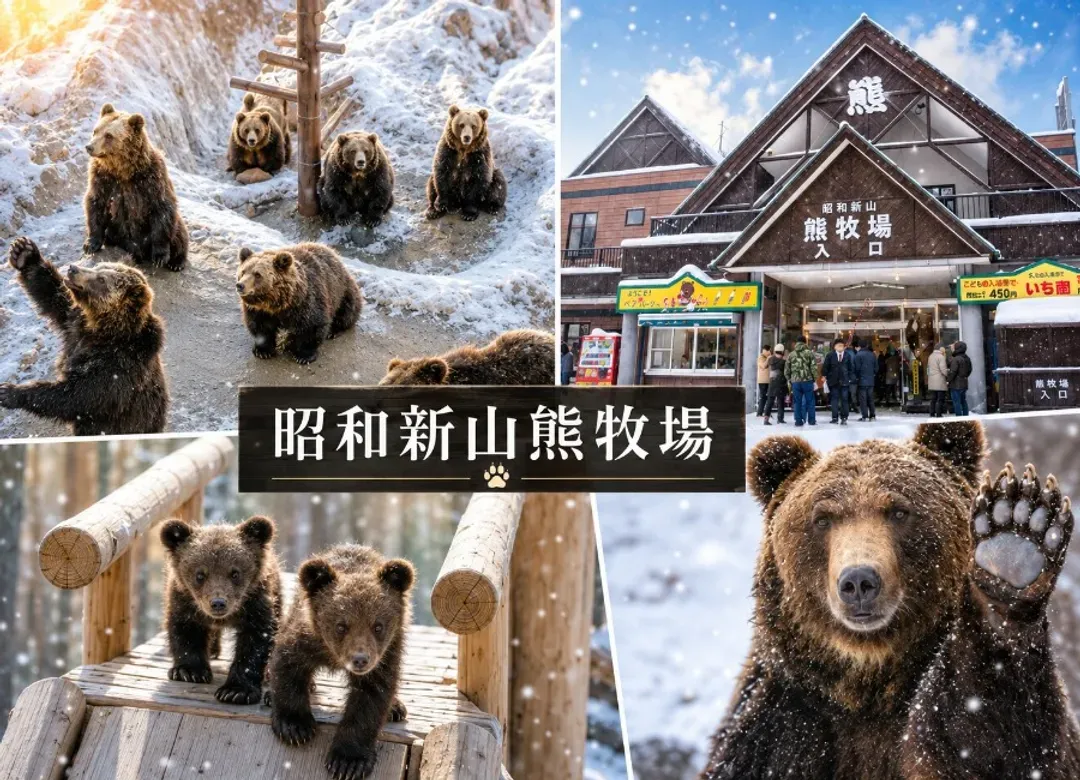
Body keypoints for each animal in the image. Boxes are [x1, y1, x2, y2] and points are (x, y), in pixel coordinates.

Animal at [0, 237, 169, 435]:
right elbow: (54, 294)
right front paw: (24, 252)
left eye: (102, 279)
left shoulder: (120, 364)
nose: (73, 269)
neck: (103, 329)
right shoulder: (74, 321)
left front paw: (10, 392)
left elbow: (79, 394)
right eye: (98, 266)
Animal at [84, 103, 189, 271]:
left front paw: (160, 256)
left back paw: (177, 262)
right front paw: (91, 244)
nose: (89, 147)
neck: (124, 170)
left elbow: (162, 207)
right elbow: (95, 203)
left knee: (179, 230)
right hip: (116, 233)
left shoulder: (153, 178)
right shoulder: (102, 178)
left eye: (109, 136)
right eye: (95, 130)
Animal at [161, 515, 282, 705]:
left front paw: (236, 691)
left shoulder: (256, 603)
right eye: (200, 574)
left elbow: (255, 642)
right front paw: (190, 671)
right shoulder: (183, 599)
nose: (218, 603)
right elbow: (184, 630)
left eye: (235, 573)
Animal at [268, 545, 414, 780]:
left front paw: (348, 761)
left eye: (378, 626)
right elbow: (288, 666)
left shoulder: (387, 655)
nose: (360, 659)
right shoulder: (306, 638)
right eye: (341, 626)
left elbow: (370, 700)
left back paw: (396, 708)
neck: (332, 656)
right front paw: (296, 727)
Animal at [702, 421, 1080, 780]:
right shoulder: (779, 723)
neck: (871, 687)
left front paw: (1014, 535)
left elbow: (998, 741)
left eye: (899, 511)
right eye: (822, 518)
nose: (858, 581)